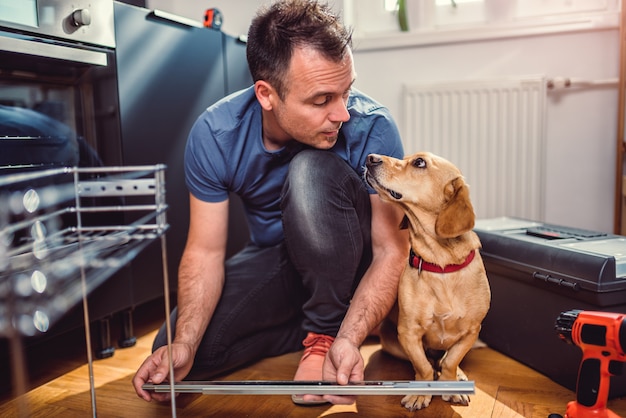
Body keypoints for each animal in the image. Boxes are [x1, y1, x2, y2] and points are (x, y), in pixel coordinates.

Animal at [364, 151, 490, 412]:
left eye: (419, 162)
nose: (370, 157)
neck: (441, 264)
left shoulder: (471, 332)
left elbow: (451, 360)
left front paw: (451, 382)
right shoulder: (408, 333)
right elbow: (422, 365)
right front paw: (421, 391)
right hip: (393, 343)